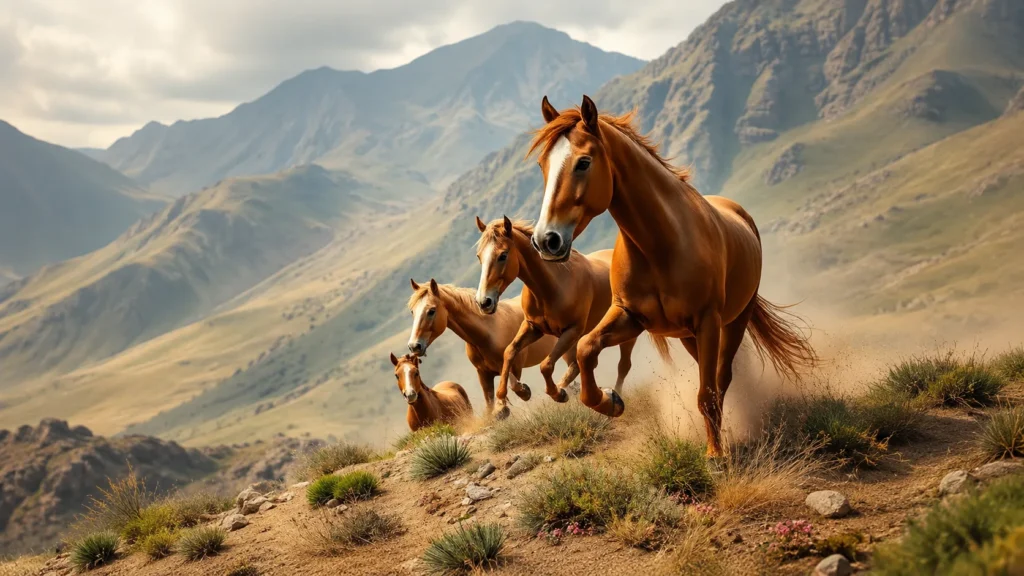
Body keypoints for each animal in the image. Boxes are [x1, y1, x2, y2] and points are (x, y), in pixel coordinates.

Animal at [406, 278, 559, 414]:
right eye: (412, 311)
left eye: (431, 311)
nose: (414, 346)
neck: (488, 333)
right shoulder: (483, 374)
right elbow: (489, 402)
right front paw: (500, 410)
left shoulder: (515, 366)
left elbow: (512, 384)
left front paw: (521, 393)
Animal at [474, 216, 669, 419]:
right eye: (479, 256)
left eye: (503, 255)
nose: (483, 302)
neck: (552, 286)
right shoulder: (532, 327)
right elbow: (509, 352)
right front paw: (511, 397)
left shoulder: (572, 331)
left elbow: (545, 365)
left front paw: (558, 394)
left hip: (625, 334)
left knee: (623, 366)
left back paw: (610, 400)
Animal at [526, 94, 817, 457]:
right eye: (543, 165)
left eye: (583, 162)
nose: (545, 240)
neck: (659, 245)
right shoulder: (631, 317)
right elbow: (585, 348)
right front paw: (609, 401)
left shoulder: (707, 321)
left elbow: (707, 393)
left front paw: (715, 455)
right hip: (688, 335)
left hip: (733, 320)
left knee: (721, 378)